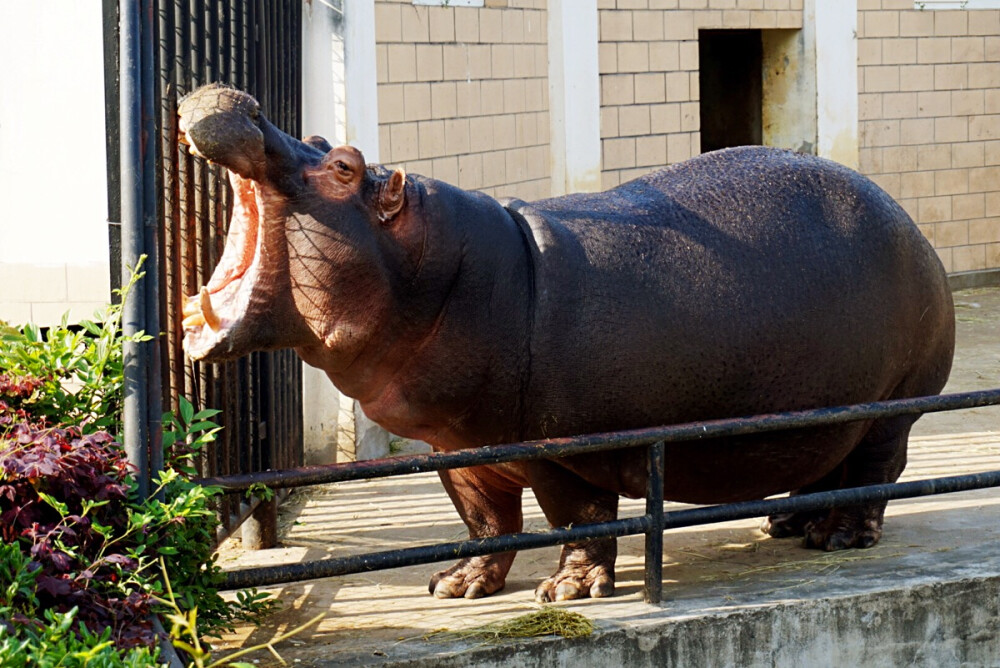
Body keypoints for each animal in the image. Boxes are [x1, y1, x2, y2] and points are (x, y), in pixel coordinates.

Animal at [178, 82, 952, 600]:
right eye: (314, 137)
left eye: (342, 164)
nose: (242, 101)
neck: (441, 271)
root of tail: (910, 224)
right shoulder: (457, 450)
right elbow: (486, 521)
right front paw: (457, 584)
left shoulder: (564, 451)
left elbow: (576, 520)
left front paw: (571, 592)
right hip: (826, 409)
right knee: (826, 461)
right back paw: (786, 526)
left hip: (895, 406)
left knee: (876, 471)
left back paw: (840, 537)